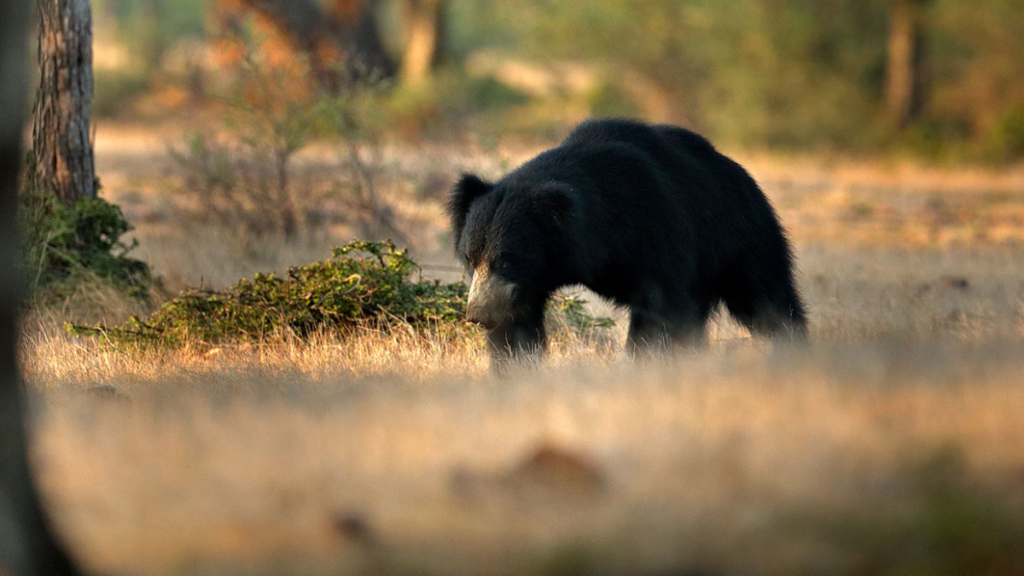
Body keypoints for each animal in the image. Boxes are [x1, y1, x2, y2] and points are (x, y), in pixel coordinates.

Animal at [447, 117, 807, 369]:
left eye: (506, 260)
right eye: (470, 260)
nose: (478, 314)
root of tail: (740, 174)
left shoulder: (653, 227)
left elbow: (659, 306)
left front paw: (645, 361)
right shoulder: (524, 285)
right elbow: (516, 324)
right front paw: (514, 366)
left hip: (740, 236)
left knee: (765, 296)